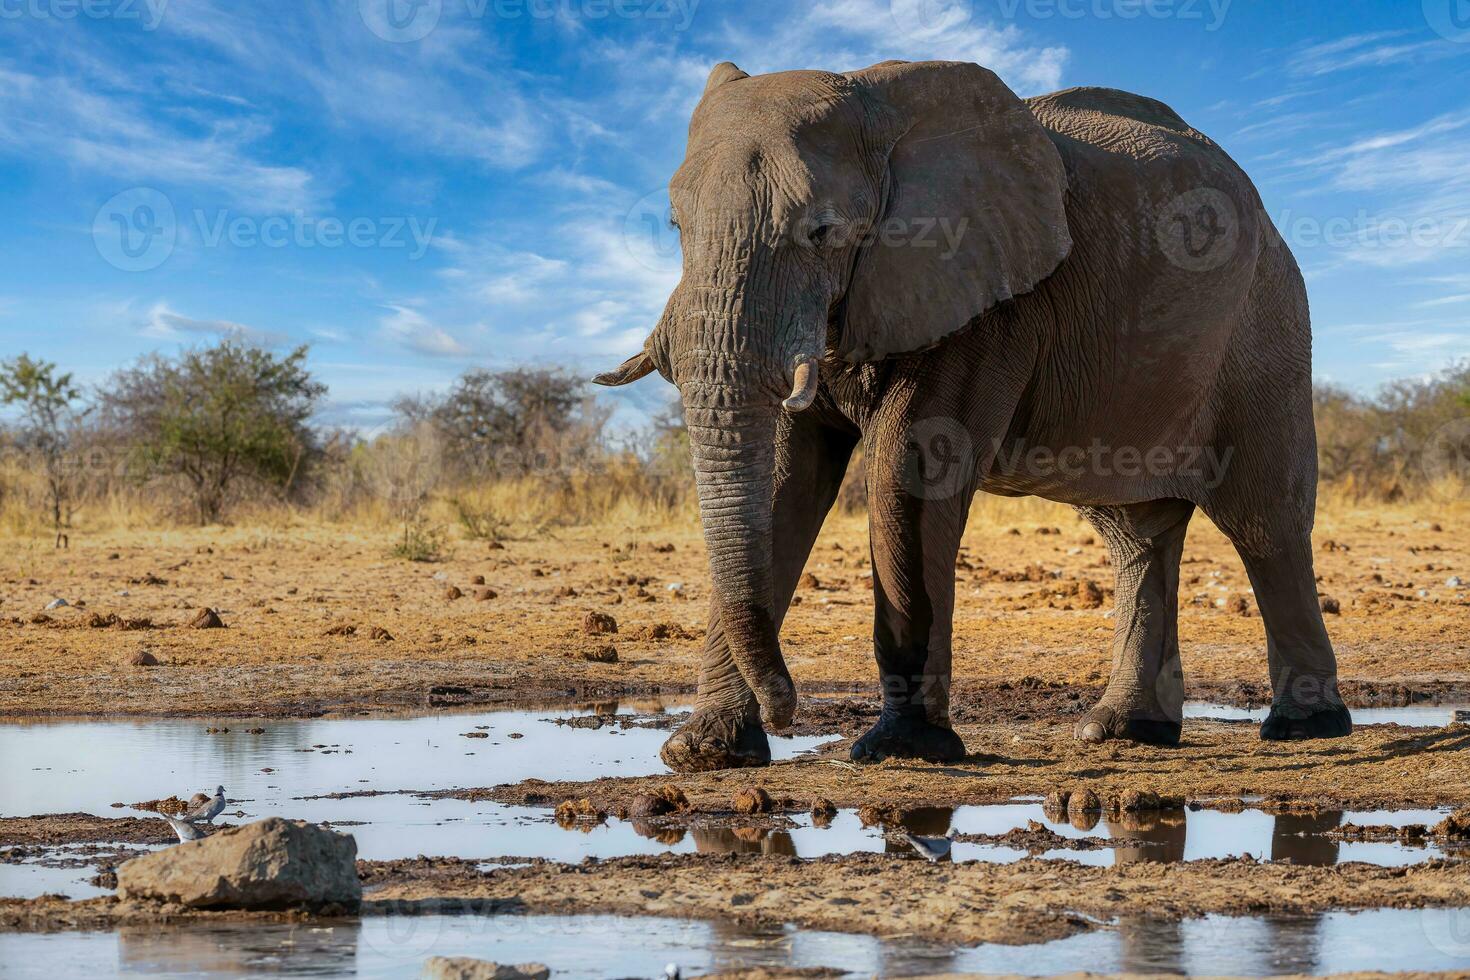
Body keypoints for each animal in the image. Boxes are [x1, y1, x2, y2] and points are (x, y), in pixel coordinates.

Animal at [590, 57, 1346, 775]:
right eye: (677, 228)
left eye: (823, 231)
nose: (788, 708)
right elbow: (781, 484)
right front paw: (704, 753)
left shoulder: (986, 302)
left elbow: (908, 472)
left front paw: (903, 748)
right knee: (1136, 533)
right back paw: (1125, 732)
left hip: (1266, 325)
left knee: (1265, 523)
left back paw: (1304, 728)